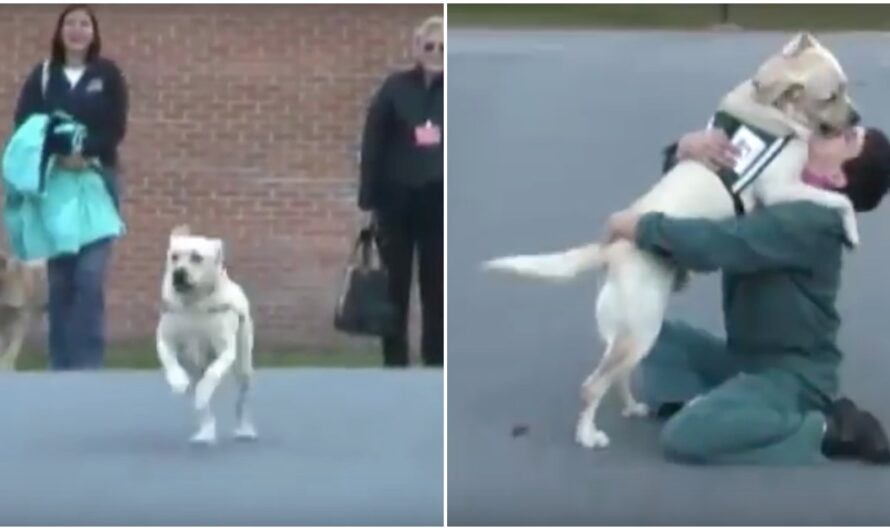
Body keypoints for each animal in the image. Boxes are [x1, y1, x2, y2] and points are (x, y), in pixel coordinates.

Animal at [156, 225, 256, 444]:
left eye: (197, 257)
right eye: (174, 257)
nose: (178, 273)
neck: (194, 303)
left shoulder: (226, 350)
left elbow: (212, 374)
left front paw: (204, 391)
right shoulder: (164, 339)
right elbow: (169, 361)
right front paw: (178, 381)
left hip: (243, 366)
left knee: (241, 401)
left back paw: (244, 430)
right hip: (194, 368)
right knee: (202, 407)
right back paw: (206, 432)